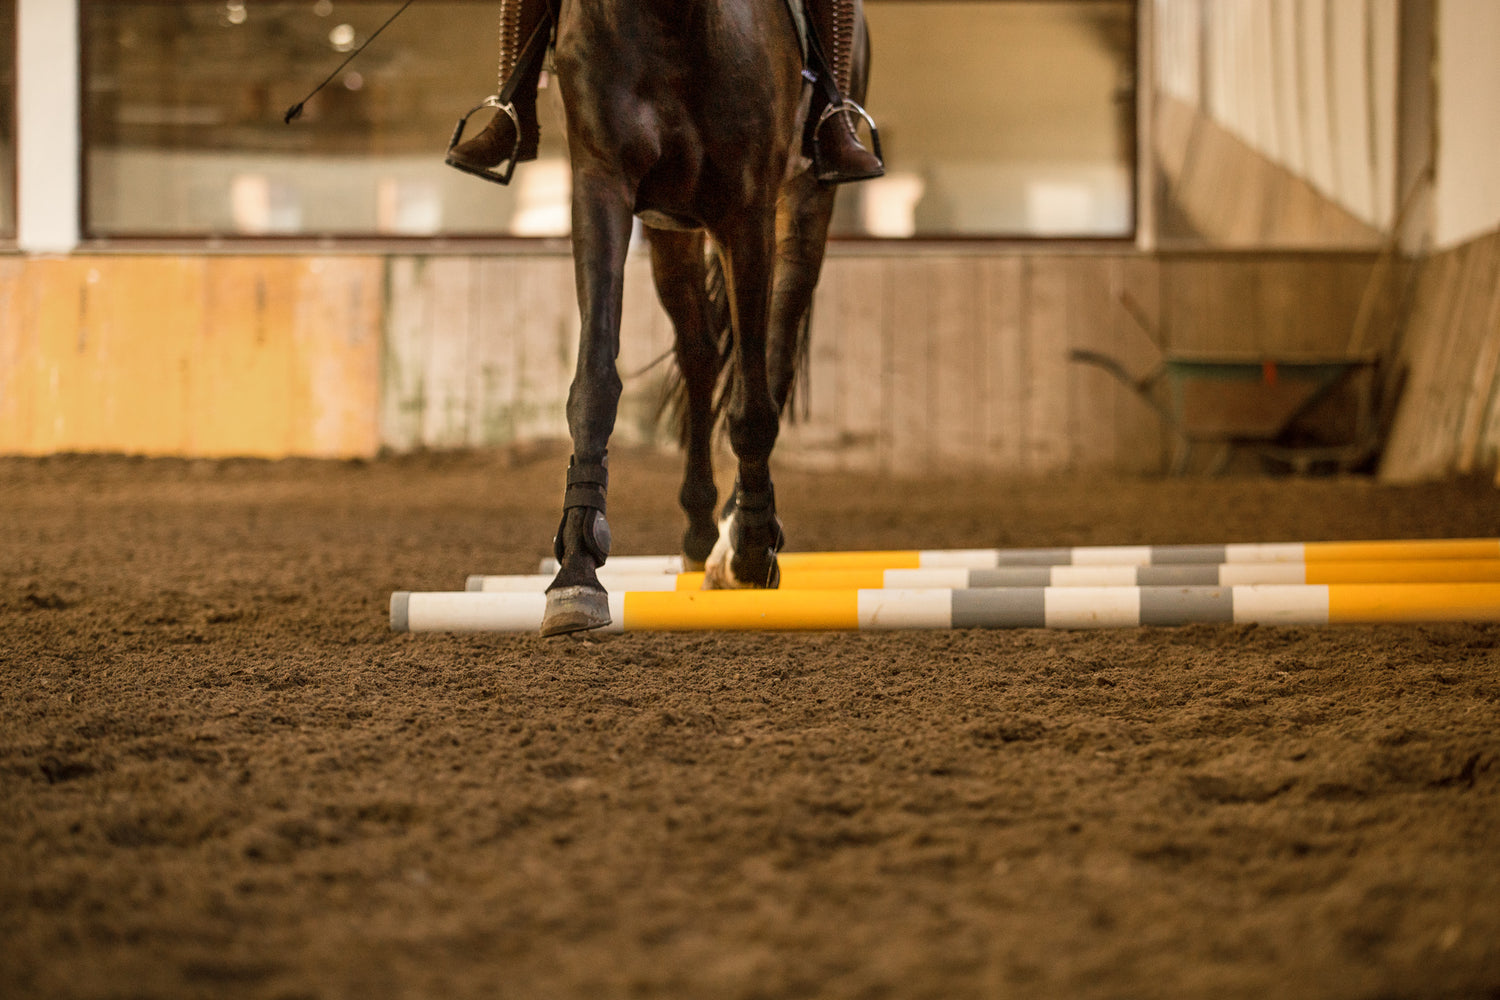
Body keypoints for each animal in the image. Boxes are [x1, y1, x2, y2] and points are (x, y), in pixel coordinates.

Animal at [537, 0, 873, 635]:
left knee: (773, 350)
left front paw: (752, 547)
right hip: (672, 235)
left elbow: (753, 406)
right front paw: (576, 571)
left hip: (804, 203)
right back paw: (699, 529)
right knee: (699, 358)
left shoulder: (747, 211)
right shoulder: (602, 186)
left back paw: (735, 537)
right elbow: (595, 380)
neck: (671, 21)